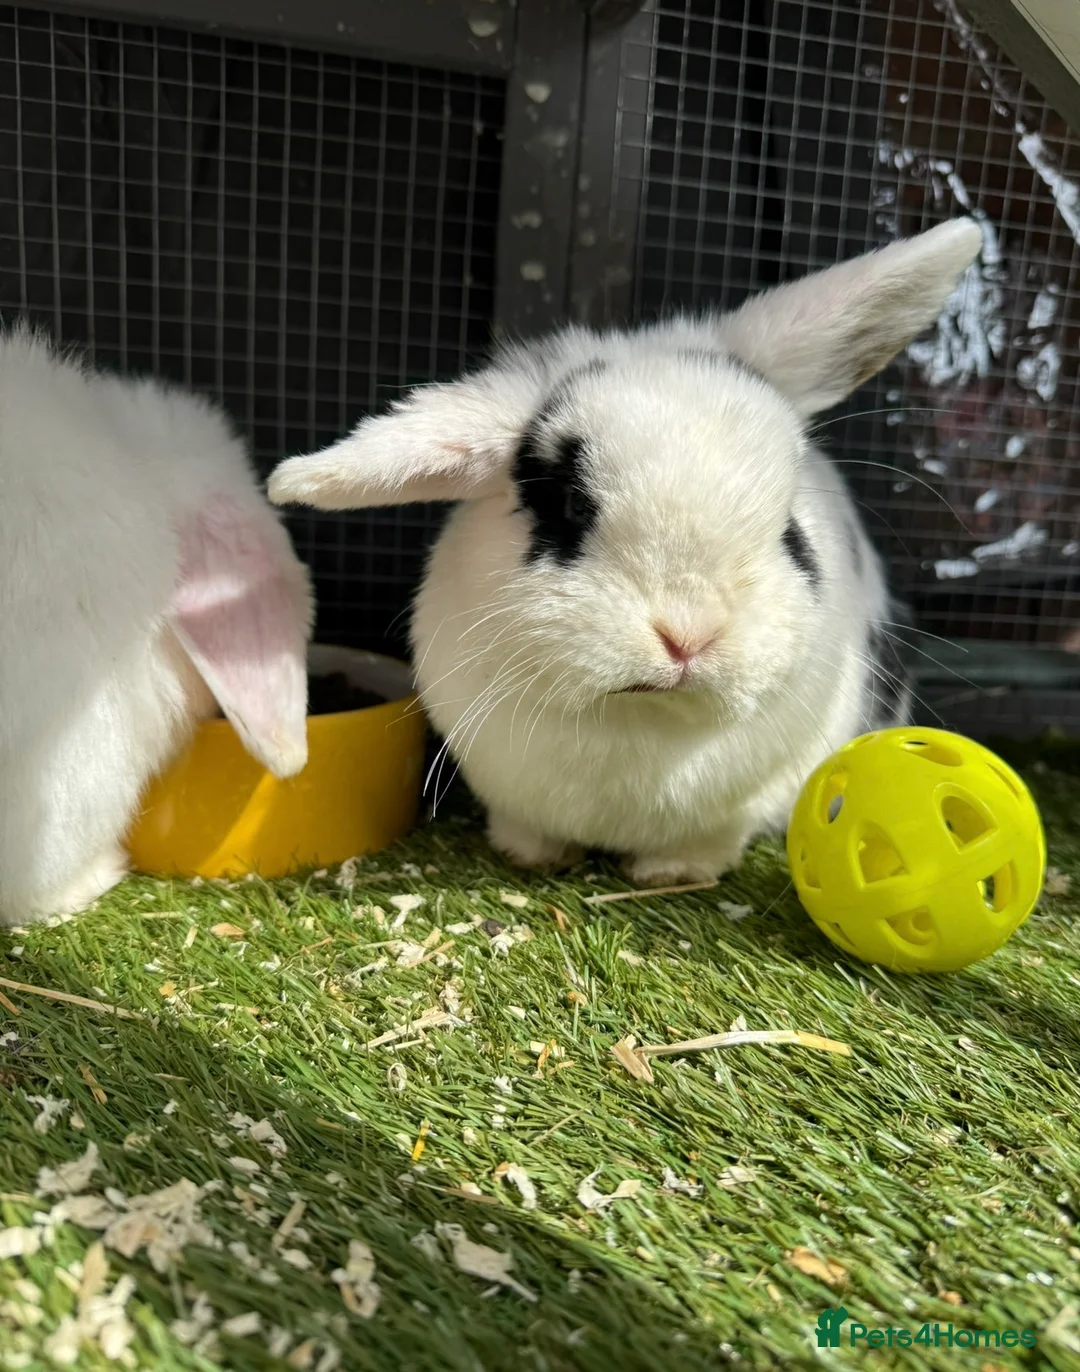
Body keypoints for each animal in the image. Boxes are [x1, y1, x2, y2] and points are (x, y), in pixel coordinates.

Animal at [269, 219, 982, 886]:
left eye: (789, 529)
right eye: (572, 504)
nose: (689, 637)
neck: (641, 718)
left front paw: (673, 874)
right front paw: (531, 856)